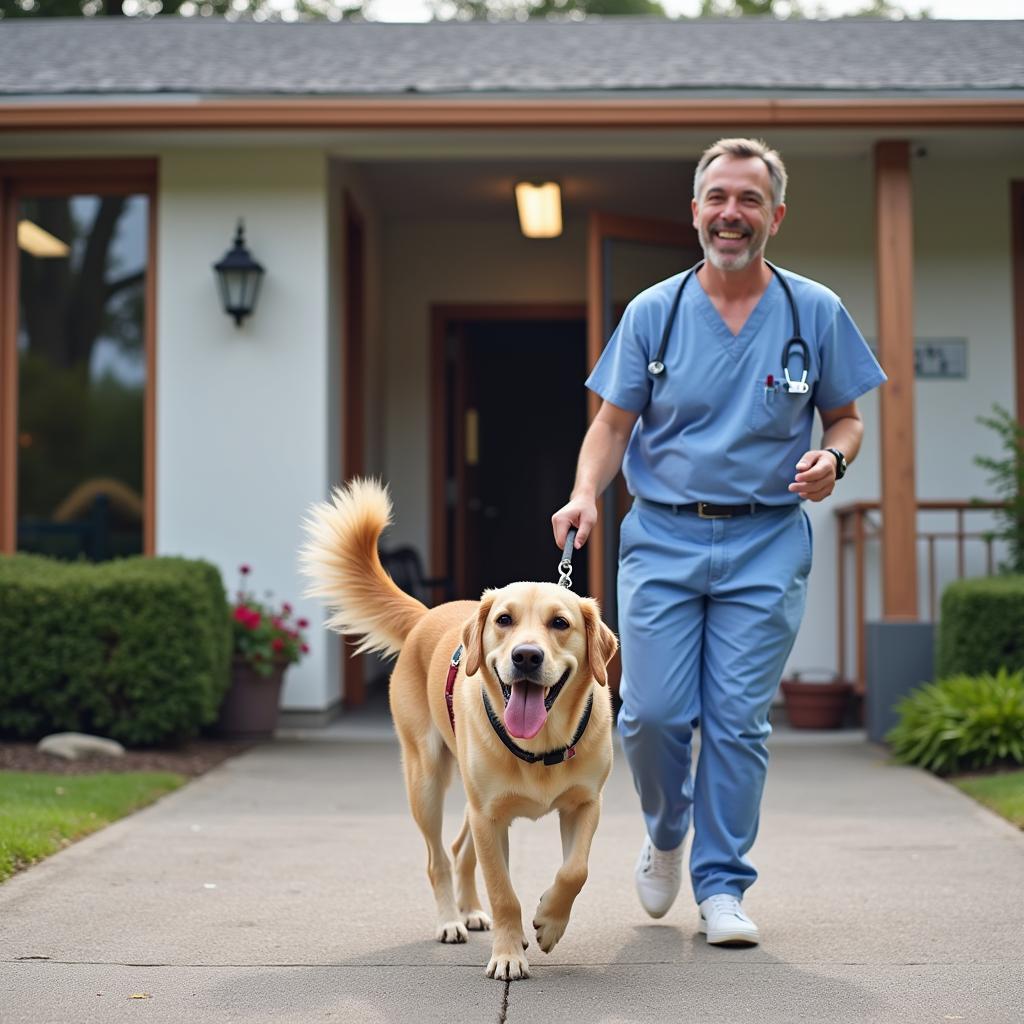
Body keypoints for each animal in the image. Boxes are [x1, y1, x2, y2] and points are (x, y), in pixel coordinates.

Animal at [296, 479, 614, 983]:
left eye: (560, 623)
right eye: (504, 620)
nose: (526, 656)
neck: (539, 745)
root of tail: (425, 615)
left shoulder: (584, 805)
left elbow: (574, 871)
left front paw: (548, 920)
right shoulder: (489, 816)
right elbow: (504, 891)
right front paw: (509, 954)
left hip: (472, 798)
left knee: (460, 848)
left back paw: (472, 910)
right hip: (428, 781)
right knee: (437, 857)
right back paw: (451, 919)